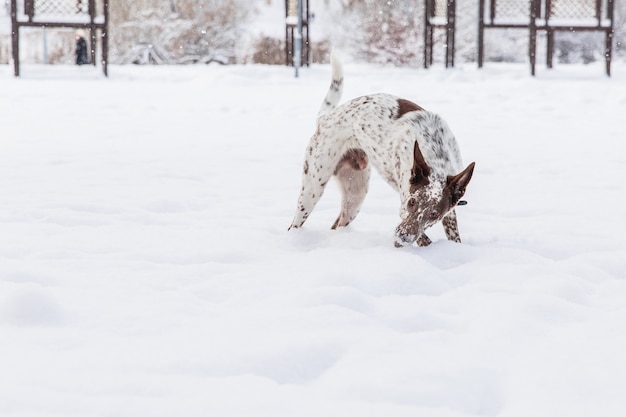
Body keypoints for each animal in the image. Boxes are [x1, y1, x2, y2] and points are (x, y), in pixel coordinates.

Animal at [288, 52, 472, 247]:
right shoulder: (403, 206)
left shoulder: (448, 212)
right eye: (412, 202)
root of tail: (325, 118)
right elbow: (423, 238)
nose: (401, 237)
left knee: (339, 223)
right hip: (312, 189)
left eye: (434, 213)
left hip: (355, 196)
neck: (435, 153)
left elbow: (452, 234)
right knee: (295, 223)